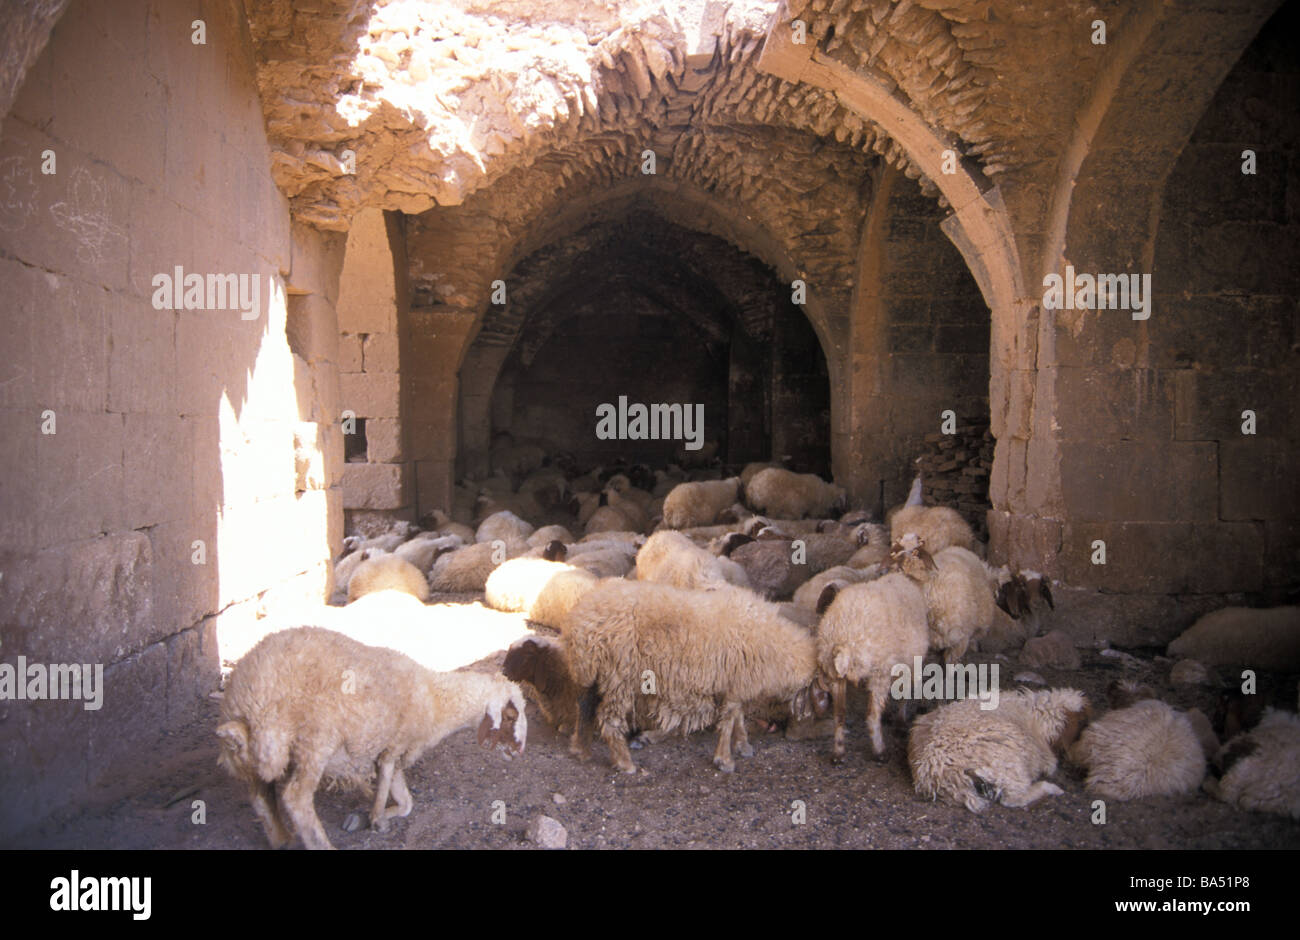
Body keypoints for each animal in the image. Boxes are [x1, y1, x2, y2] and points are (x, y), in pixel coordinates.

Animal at [219, 624, 527, 852]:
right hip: (314, 741)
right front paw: (376, 818)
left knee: (260, 797)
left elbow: (405, 801)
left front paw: (376, 817)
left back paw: (281, 839)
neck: (437, 700)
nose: (519, 751)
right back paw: (321, 845)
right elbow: (386, 786)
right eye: (511, 716)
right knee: (296, 798)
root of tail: (247, 702)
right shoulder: (394, 746)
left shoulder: (395, 751)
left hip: (258, 755)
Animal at [561, 585, 821, 774]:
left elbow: (737, 717)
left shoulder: (734, 685)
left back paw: (580, 749)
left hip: (593, 676)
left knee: (583, 707)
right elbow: (729, 721)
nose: (809, 716)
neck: (773, 646)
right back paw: (625, 763)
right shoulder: (735, 684)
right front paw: (725, 759)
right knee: (610, 720)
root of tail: (579, 623)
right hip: (619, 677)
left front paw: (742, 745)